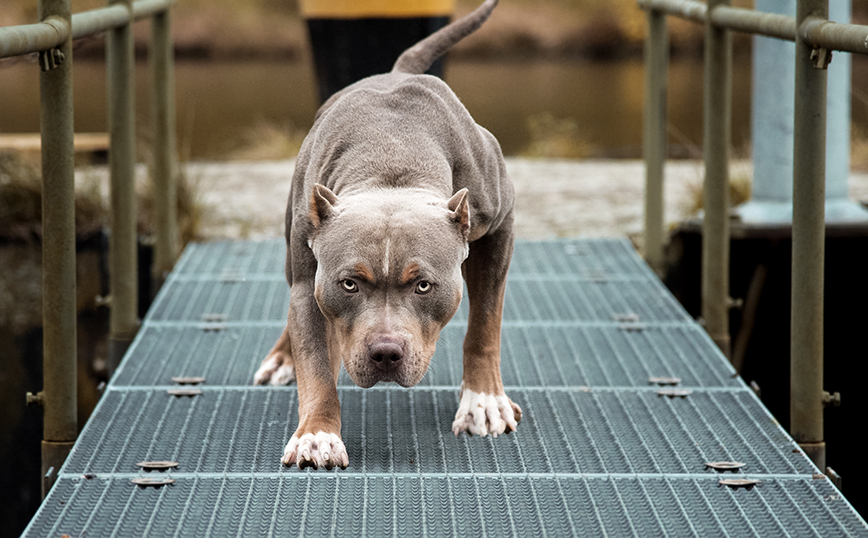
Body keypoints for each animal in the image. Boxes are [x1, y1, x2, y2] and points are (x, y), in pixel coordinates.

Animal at [254, 0, 520, 466]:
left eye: (423, 285)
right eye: (349, 283)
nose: (385, 353)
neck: (392, 158)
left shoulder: (499, 227)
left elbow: (485, 323)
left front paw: (484, 401)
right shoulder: (311, 279)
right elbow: (314, 362)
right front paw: (317, 434)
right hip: (294, 244)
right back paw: (285, 358)